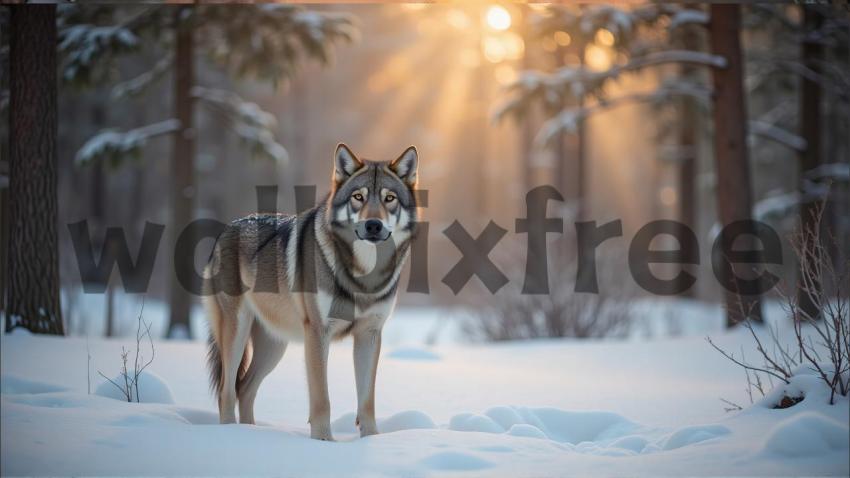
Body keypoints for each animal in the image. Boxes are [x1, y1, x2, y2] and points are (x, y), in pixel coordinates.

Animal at [205, 143, 418, 440]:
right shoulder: (318, 332)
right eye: (358, 197)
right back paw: (231, 435)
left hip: (274, 347)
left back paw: (251, 432)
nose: (373, 225)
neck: (363, 276)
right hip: (237, 334)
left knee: (244, 389)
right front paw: (323, 442)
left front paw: (372, 440)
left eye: (389, 198)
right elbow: (322, 399)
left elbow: (367, 401)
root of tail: (227, 229)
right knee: (226, 391)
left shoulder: (369, 334)